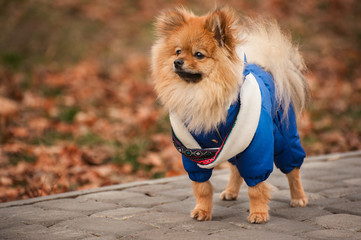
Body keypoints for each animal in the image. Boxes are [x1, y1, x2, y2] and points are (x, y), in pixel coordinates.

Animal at [150, 6, 308, 223]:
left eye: (199, 55)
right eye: (178, 51)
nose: (177, 62)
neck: (200, 93)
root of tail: (265, 67)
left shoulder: (256, 145)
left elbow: (256, 186)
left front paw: (258, 212)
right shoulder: (193, 152)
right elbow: (202, 187)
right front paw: (203, 210)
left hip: (283, 136)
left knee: (293, 168)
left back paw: (299, 197)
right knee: (235, 168)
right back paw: (231, 191)